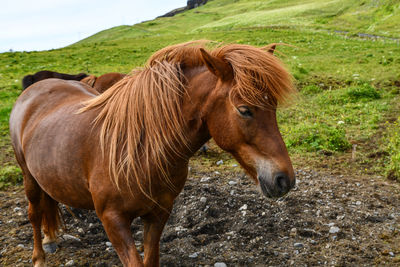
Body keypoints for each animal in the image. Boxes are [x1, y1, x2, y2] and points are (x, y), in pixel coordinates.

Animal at [9, 40, 296, 266]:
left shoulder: (159, 214)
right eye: (244, 109)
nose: (285, 180)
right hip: (28, 177)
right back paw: (39, 256)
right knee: (34, 213)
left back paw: (51, 238)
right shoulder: (112, 220)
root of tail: (33, 90)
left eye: (273, 107)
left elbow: (151, 259)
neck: (138, 152)